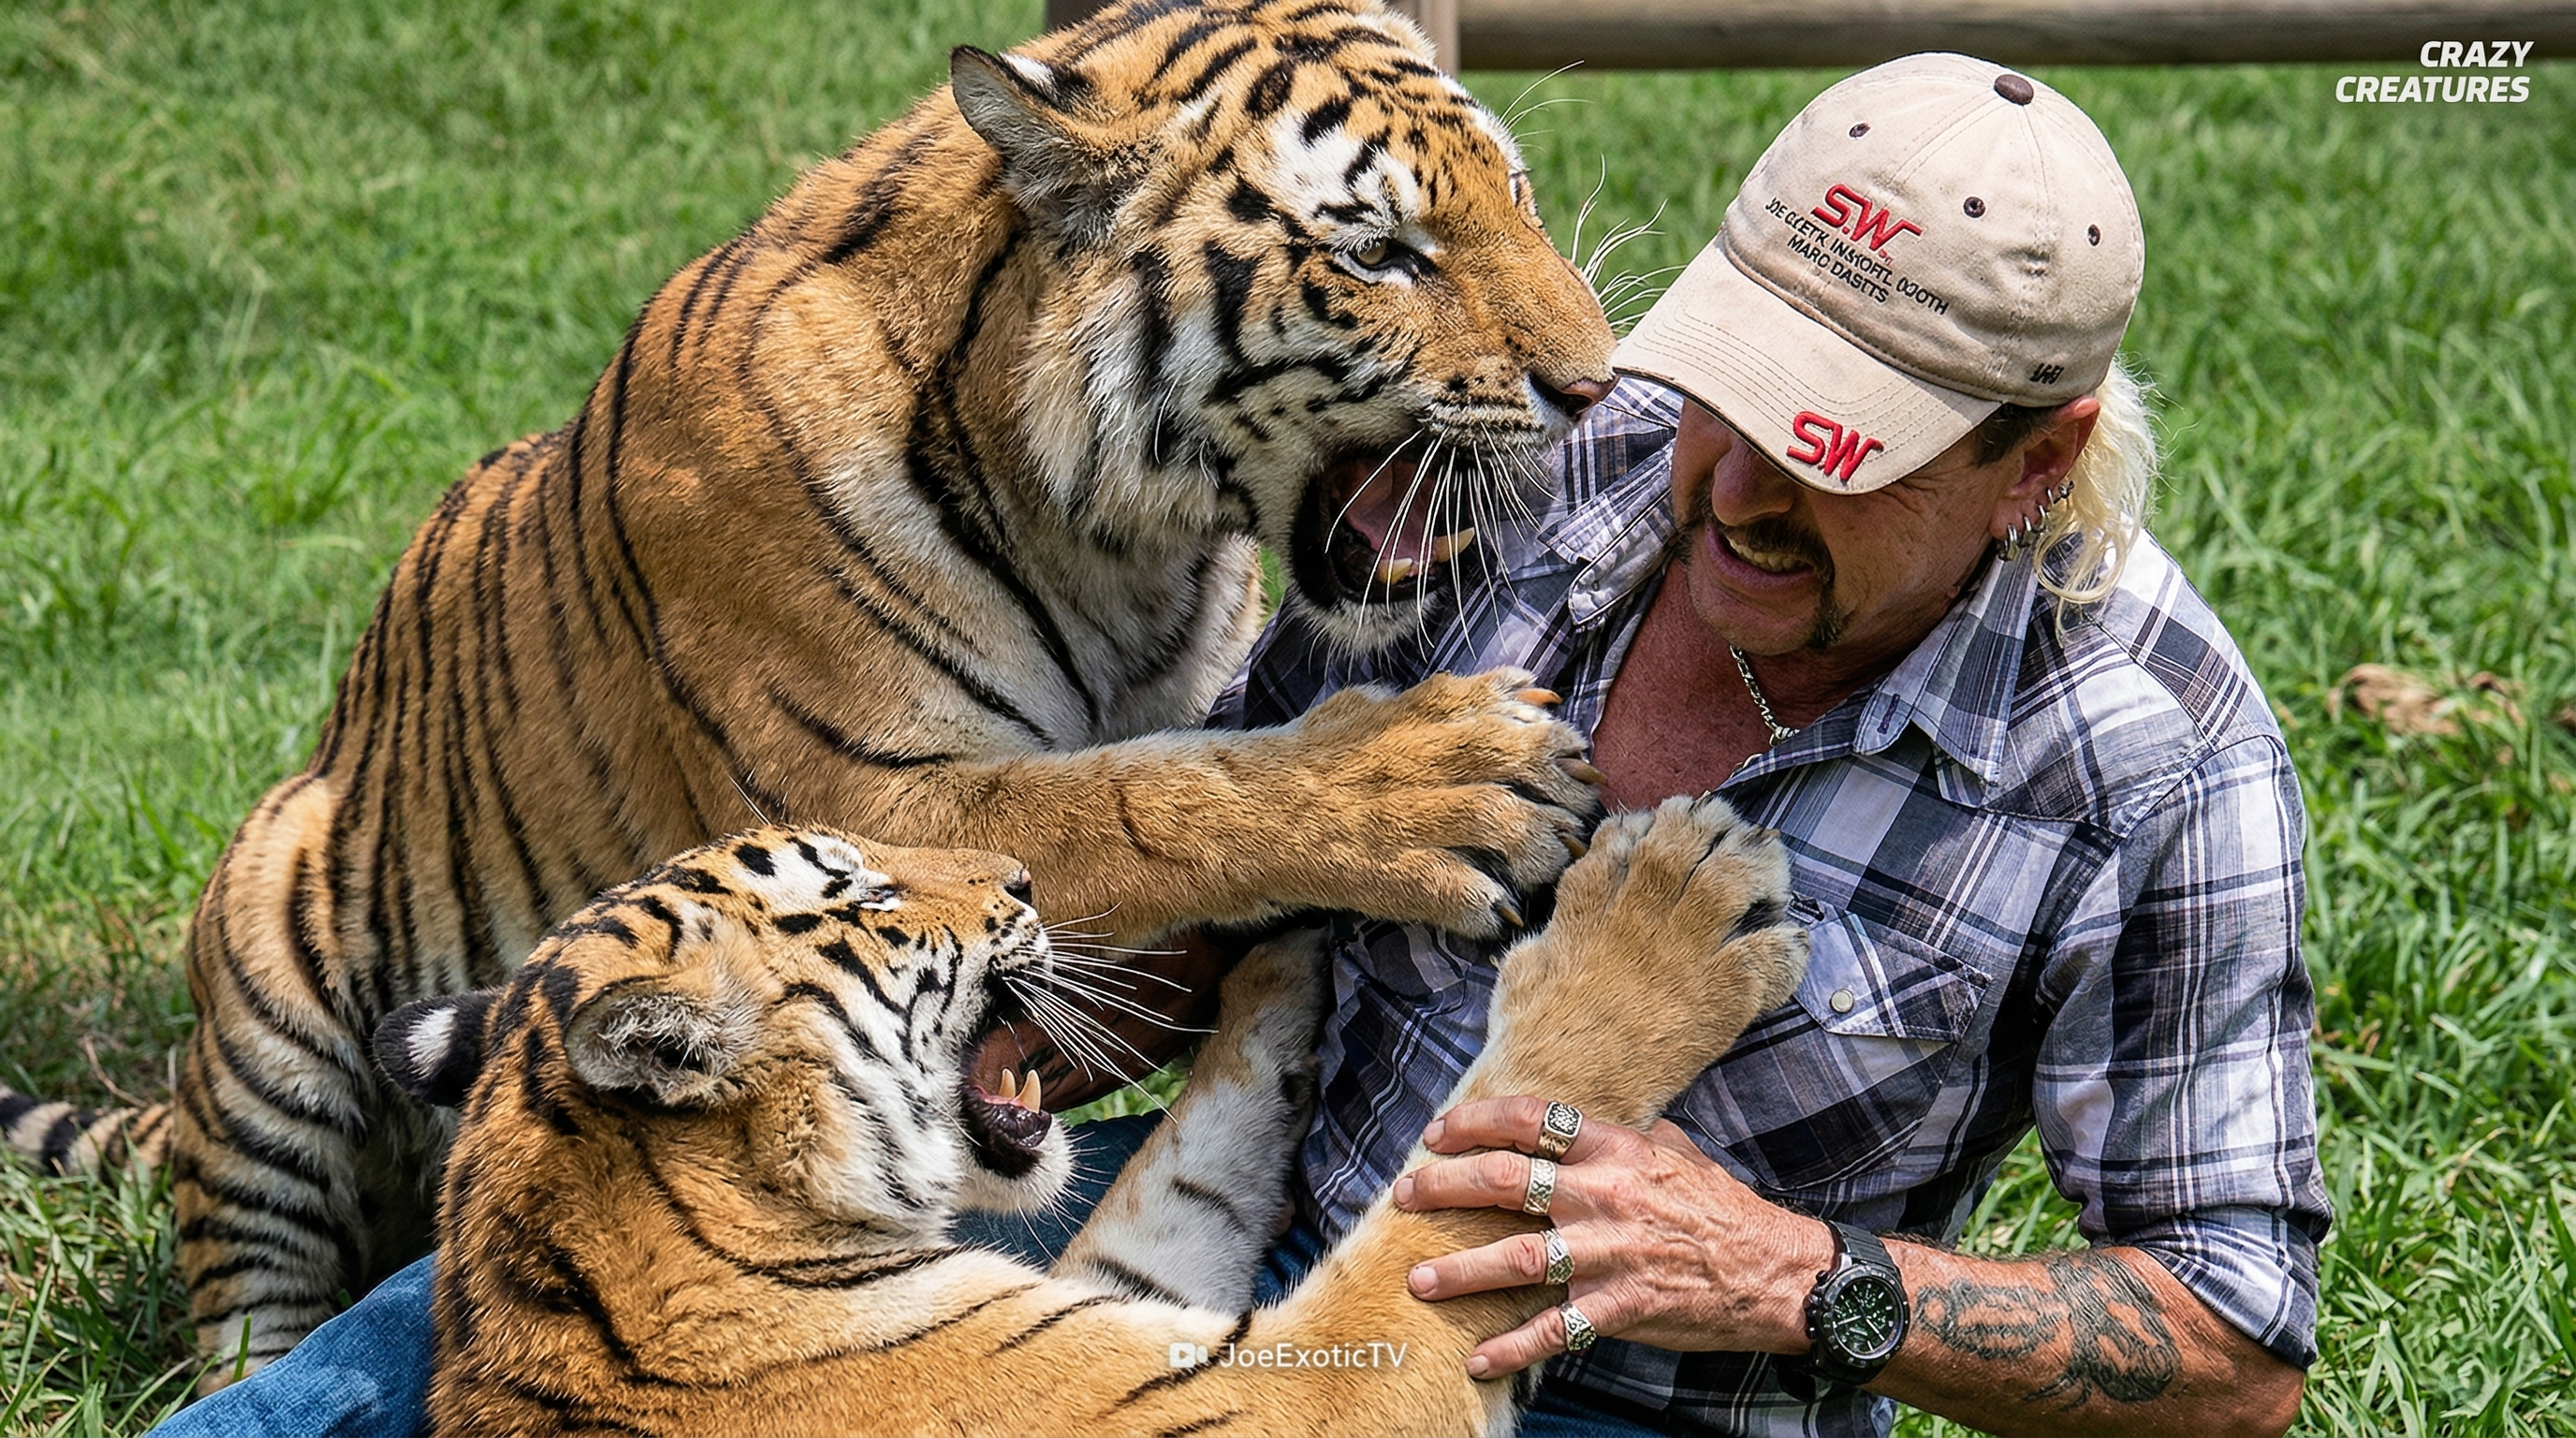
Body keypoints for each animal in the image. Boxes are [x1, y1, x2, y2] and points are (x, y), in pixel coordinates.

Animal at [0, 0, 1618, 1386]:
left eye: (1520, 198)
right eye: (1383, 251)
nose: (1594, 387)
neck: (1118, 540)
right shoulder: (853, 792)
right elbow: (1148, 794)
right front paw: (1449, 781)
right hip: (269, 956)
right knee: (247, 1302)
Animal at [373, 801, 1807, 1437]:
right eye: (868, 893)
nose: (1020, 875)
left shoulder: (1130, 1325)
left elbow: (1190, 1167)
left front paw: (1289, 934)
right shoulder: (1292, 1403)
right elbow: (1440, 1213)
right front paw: (1665, 909)